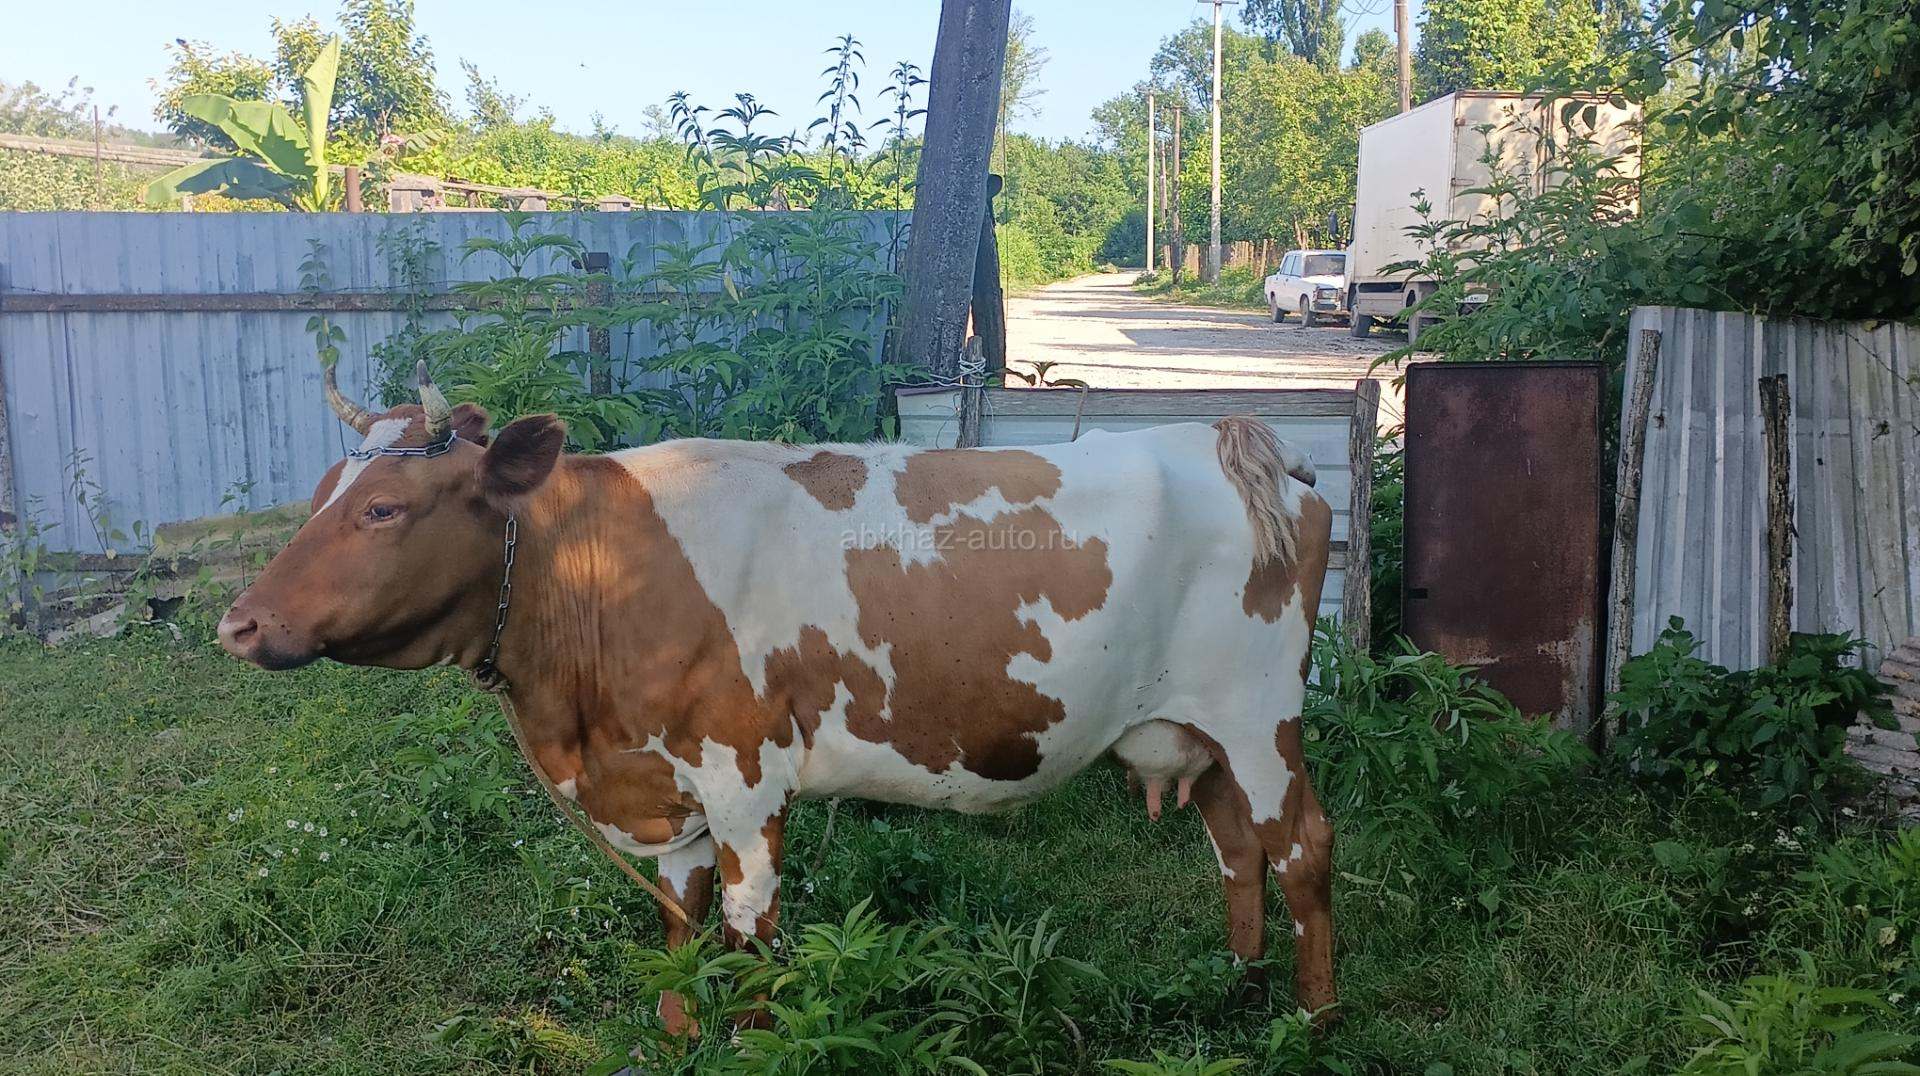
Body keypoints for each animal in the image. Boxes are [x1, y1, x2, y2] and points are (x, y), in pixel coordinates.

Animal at [218, 365, 1338, 1029]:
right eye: (320, 492)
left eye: (382, 507)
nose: (238, 624)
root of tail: (1237, 433)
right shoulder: (663, 793)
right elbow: (680, 938)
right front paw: (677, 1040)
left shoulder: (745, 781)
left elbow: (748, 942)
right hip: (1202, 729)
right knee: (1236, 846)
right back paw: (1235, 985)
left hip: (1260, 715)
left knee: (1300, 850)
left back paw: (1313, 1017)